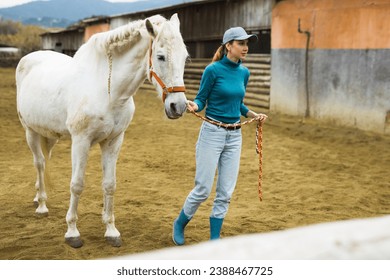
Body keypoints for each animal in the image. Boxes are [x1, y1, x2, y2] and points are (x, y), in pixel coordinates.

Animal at [16, 14, 190, 248]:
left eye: (185, 57)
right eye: (160, 57)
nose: (177, 106)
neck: (107, 92)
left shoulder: (113, 141)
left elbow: (109, 185)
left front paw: (111, 231)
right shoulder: (80, 141)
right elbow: (77, 185)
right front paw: (72, 232)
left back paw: (38, 198)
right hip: (30, 131)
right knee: (40, 164)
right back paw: (42, 204)